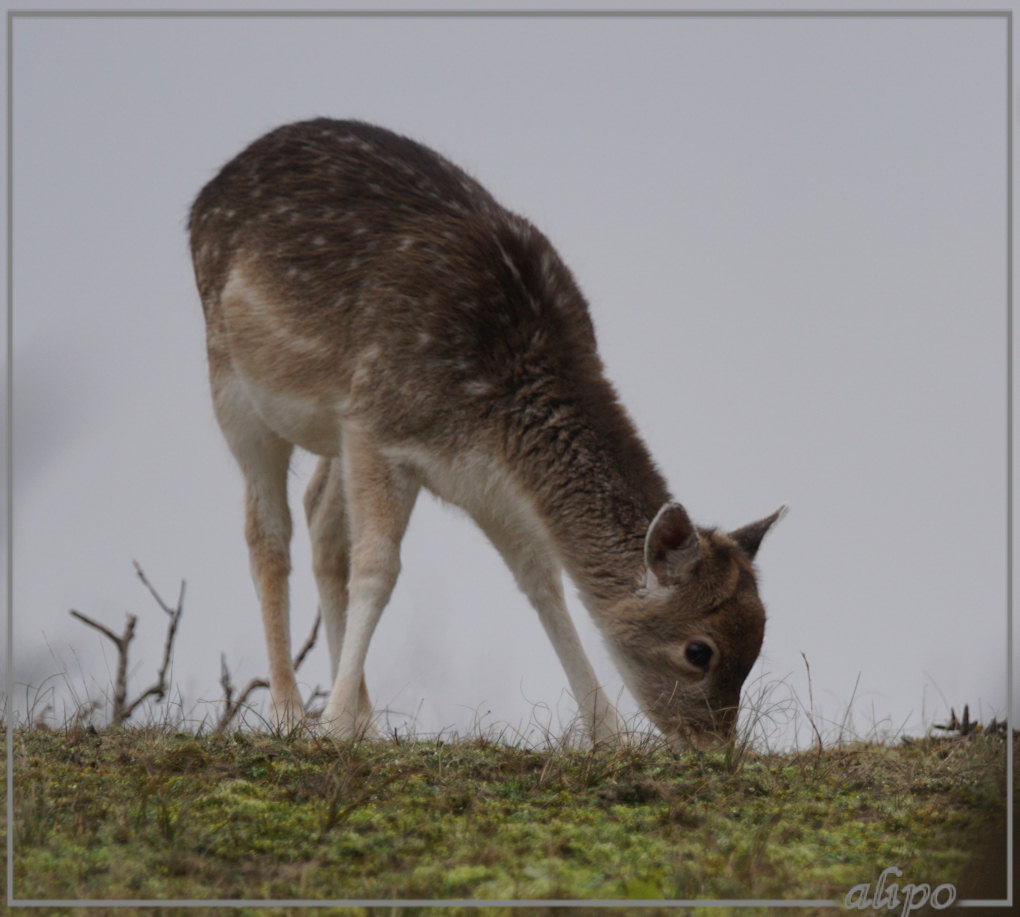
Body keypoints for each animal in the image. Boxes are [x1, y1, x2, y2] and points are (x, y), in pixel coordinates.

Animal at [187, 116, 783, 746]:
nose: (716, 746)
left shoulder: (484, 483)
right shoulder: (378, 424)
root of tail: (206, 192)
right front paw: (333, 723)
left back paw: (367, 721)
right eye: (700, 650)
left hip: (332, 427)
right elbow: (377, 568)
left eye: (758, 644)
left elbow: (542, 581)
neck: (492, 414)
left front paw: (607, 733)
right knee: (267, 532)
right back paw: (287, 710)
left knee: (319, 512)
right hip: (232, 383)